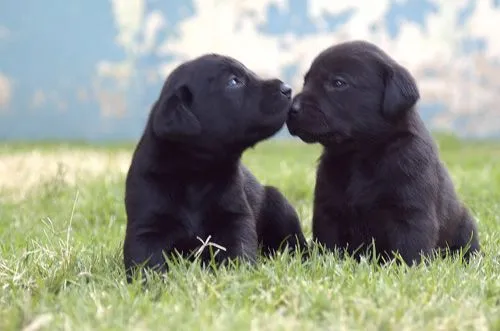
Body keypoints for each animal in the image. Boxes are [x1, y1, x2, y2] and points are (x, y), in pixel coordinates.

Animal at [123, 54, 306, 282]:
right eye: (234, 81)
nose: (287, 89)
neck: (196, 175)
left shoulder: (235, 218)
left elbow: (239, 250)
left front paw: (237, 276)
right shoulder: (145, 227)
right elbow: (146, 262)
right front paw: (154, 284)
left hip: (279, 205)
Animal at [290, 40, 480, 266]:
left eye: (338, 83)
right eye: (306, 81)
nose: (291, 109)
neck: (360, 154)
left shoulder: (410, 214)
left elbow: (409, 253)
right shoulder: (328, 210)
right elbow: (328, 245)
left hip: (466, 227)